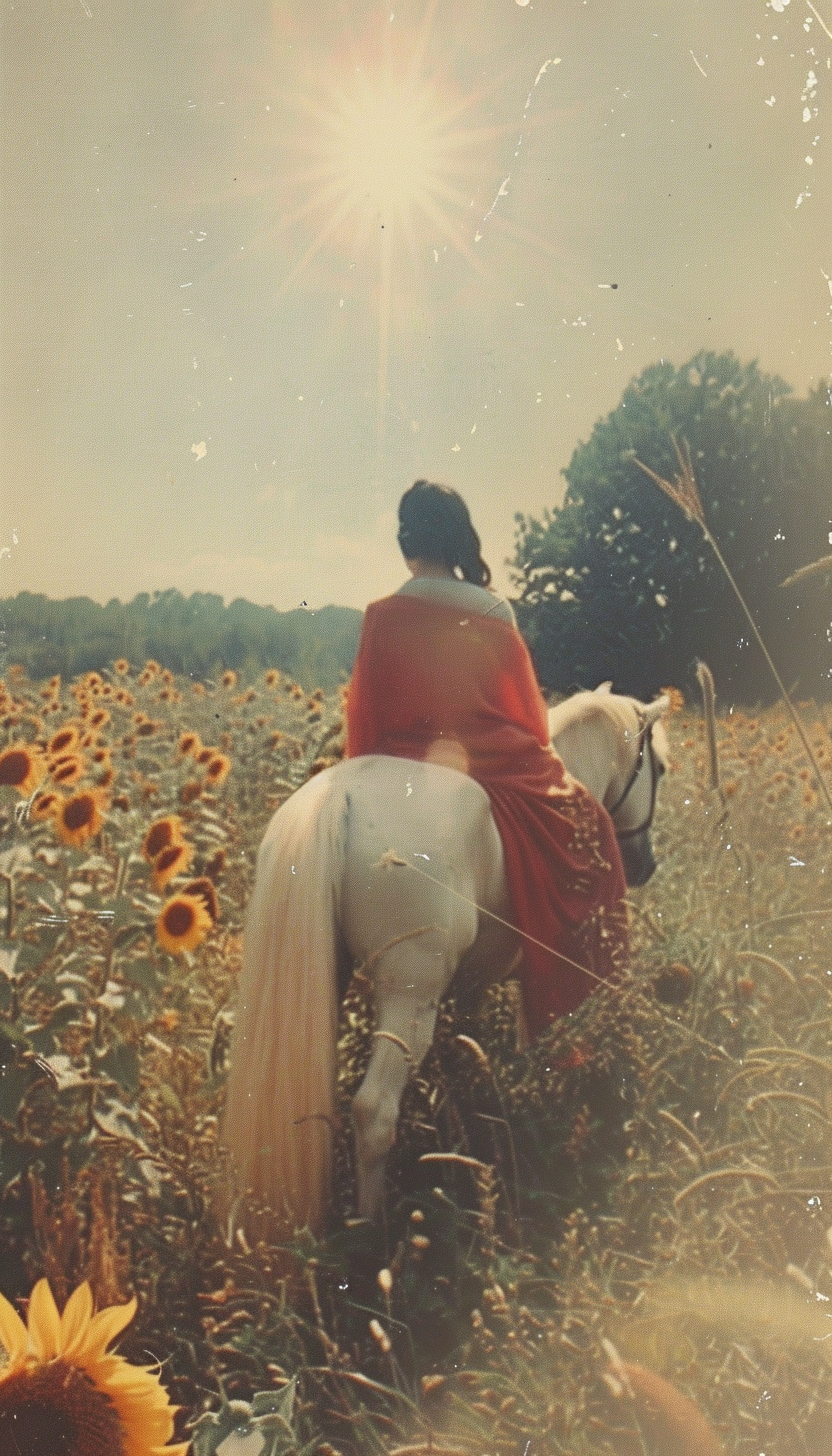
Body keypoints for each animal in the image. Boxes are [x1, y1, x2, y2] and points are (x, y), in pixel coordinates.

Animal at [222, 687, 670, 1234]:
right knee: (374, 1110)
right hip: (410, 996)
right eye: (660, 768)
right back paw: (375, 1228)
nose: (644, 865)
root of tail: (339, 797)